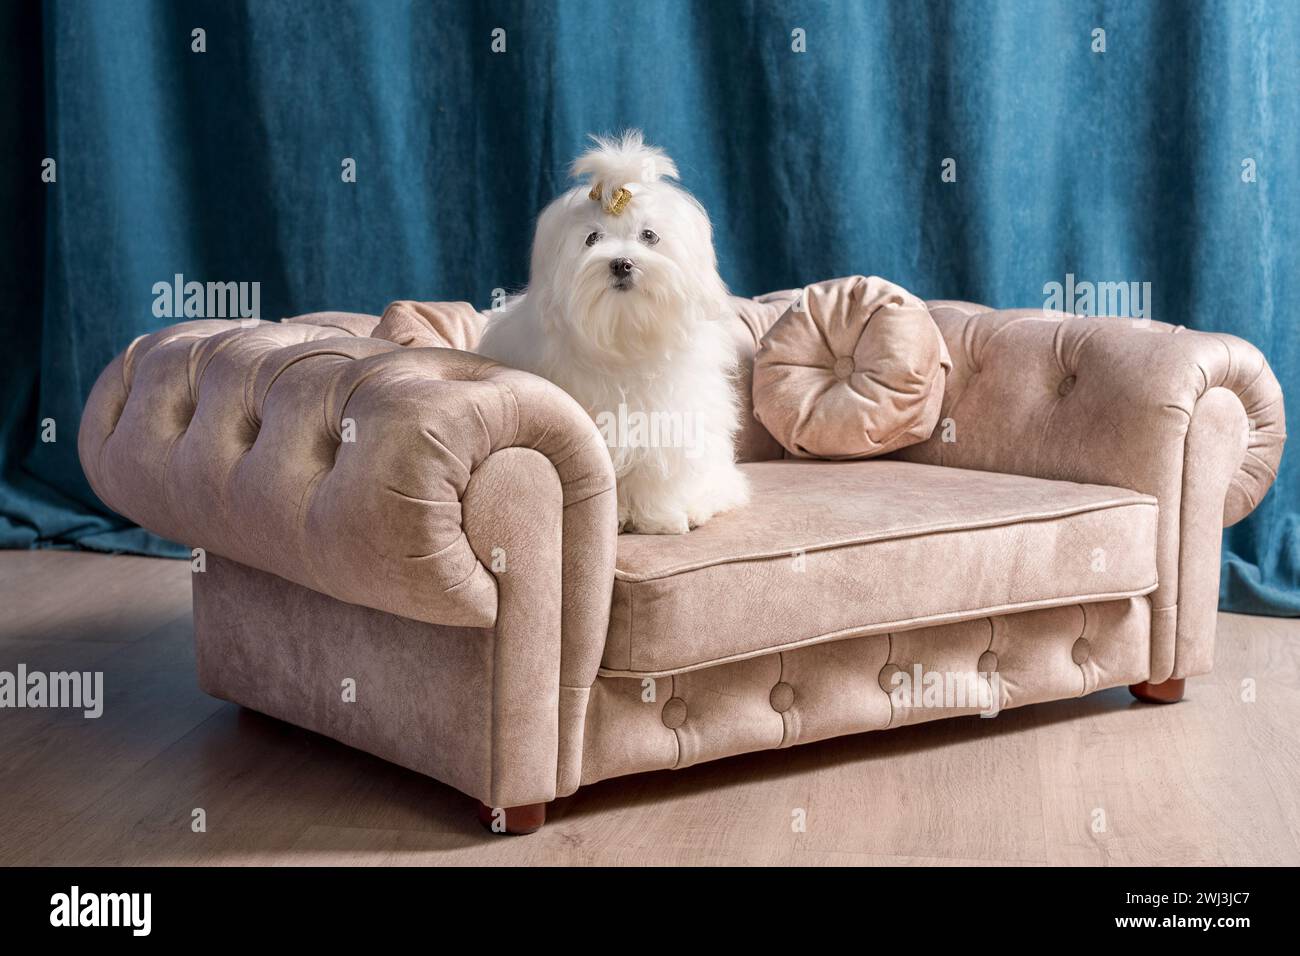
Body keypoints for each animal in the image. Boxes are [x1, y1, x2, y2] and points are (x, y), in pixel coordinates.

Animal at [478, 128, 748, 535]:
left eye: (649, 235)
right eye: (592, 239)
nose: (621, 263)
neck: (623, 332)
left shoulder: (670, 419)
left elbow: (659, 468)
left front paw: (661, 517)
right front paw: (614, 517)